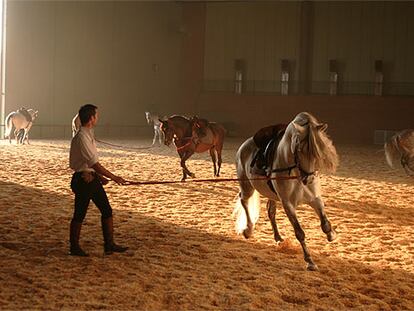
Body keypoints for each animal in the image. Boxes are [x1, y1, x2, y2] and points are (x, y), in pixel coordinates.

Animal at [234, 111, 338, 270]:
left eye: (316, 153)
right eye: (299, 150)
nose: (308, 179)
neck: (295, 172)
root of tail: (243, 146)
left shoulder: (315, 199)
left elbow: (325, 223)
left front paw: (331, 235)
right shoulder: (288, 204)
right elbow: (299, 232)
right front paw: (309, 261)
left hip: (271, 195)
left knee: (270, 211)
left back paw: (278, 238)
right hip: (247, 187)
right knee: (243, 200)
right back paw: (248, 230)